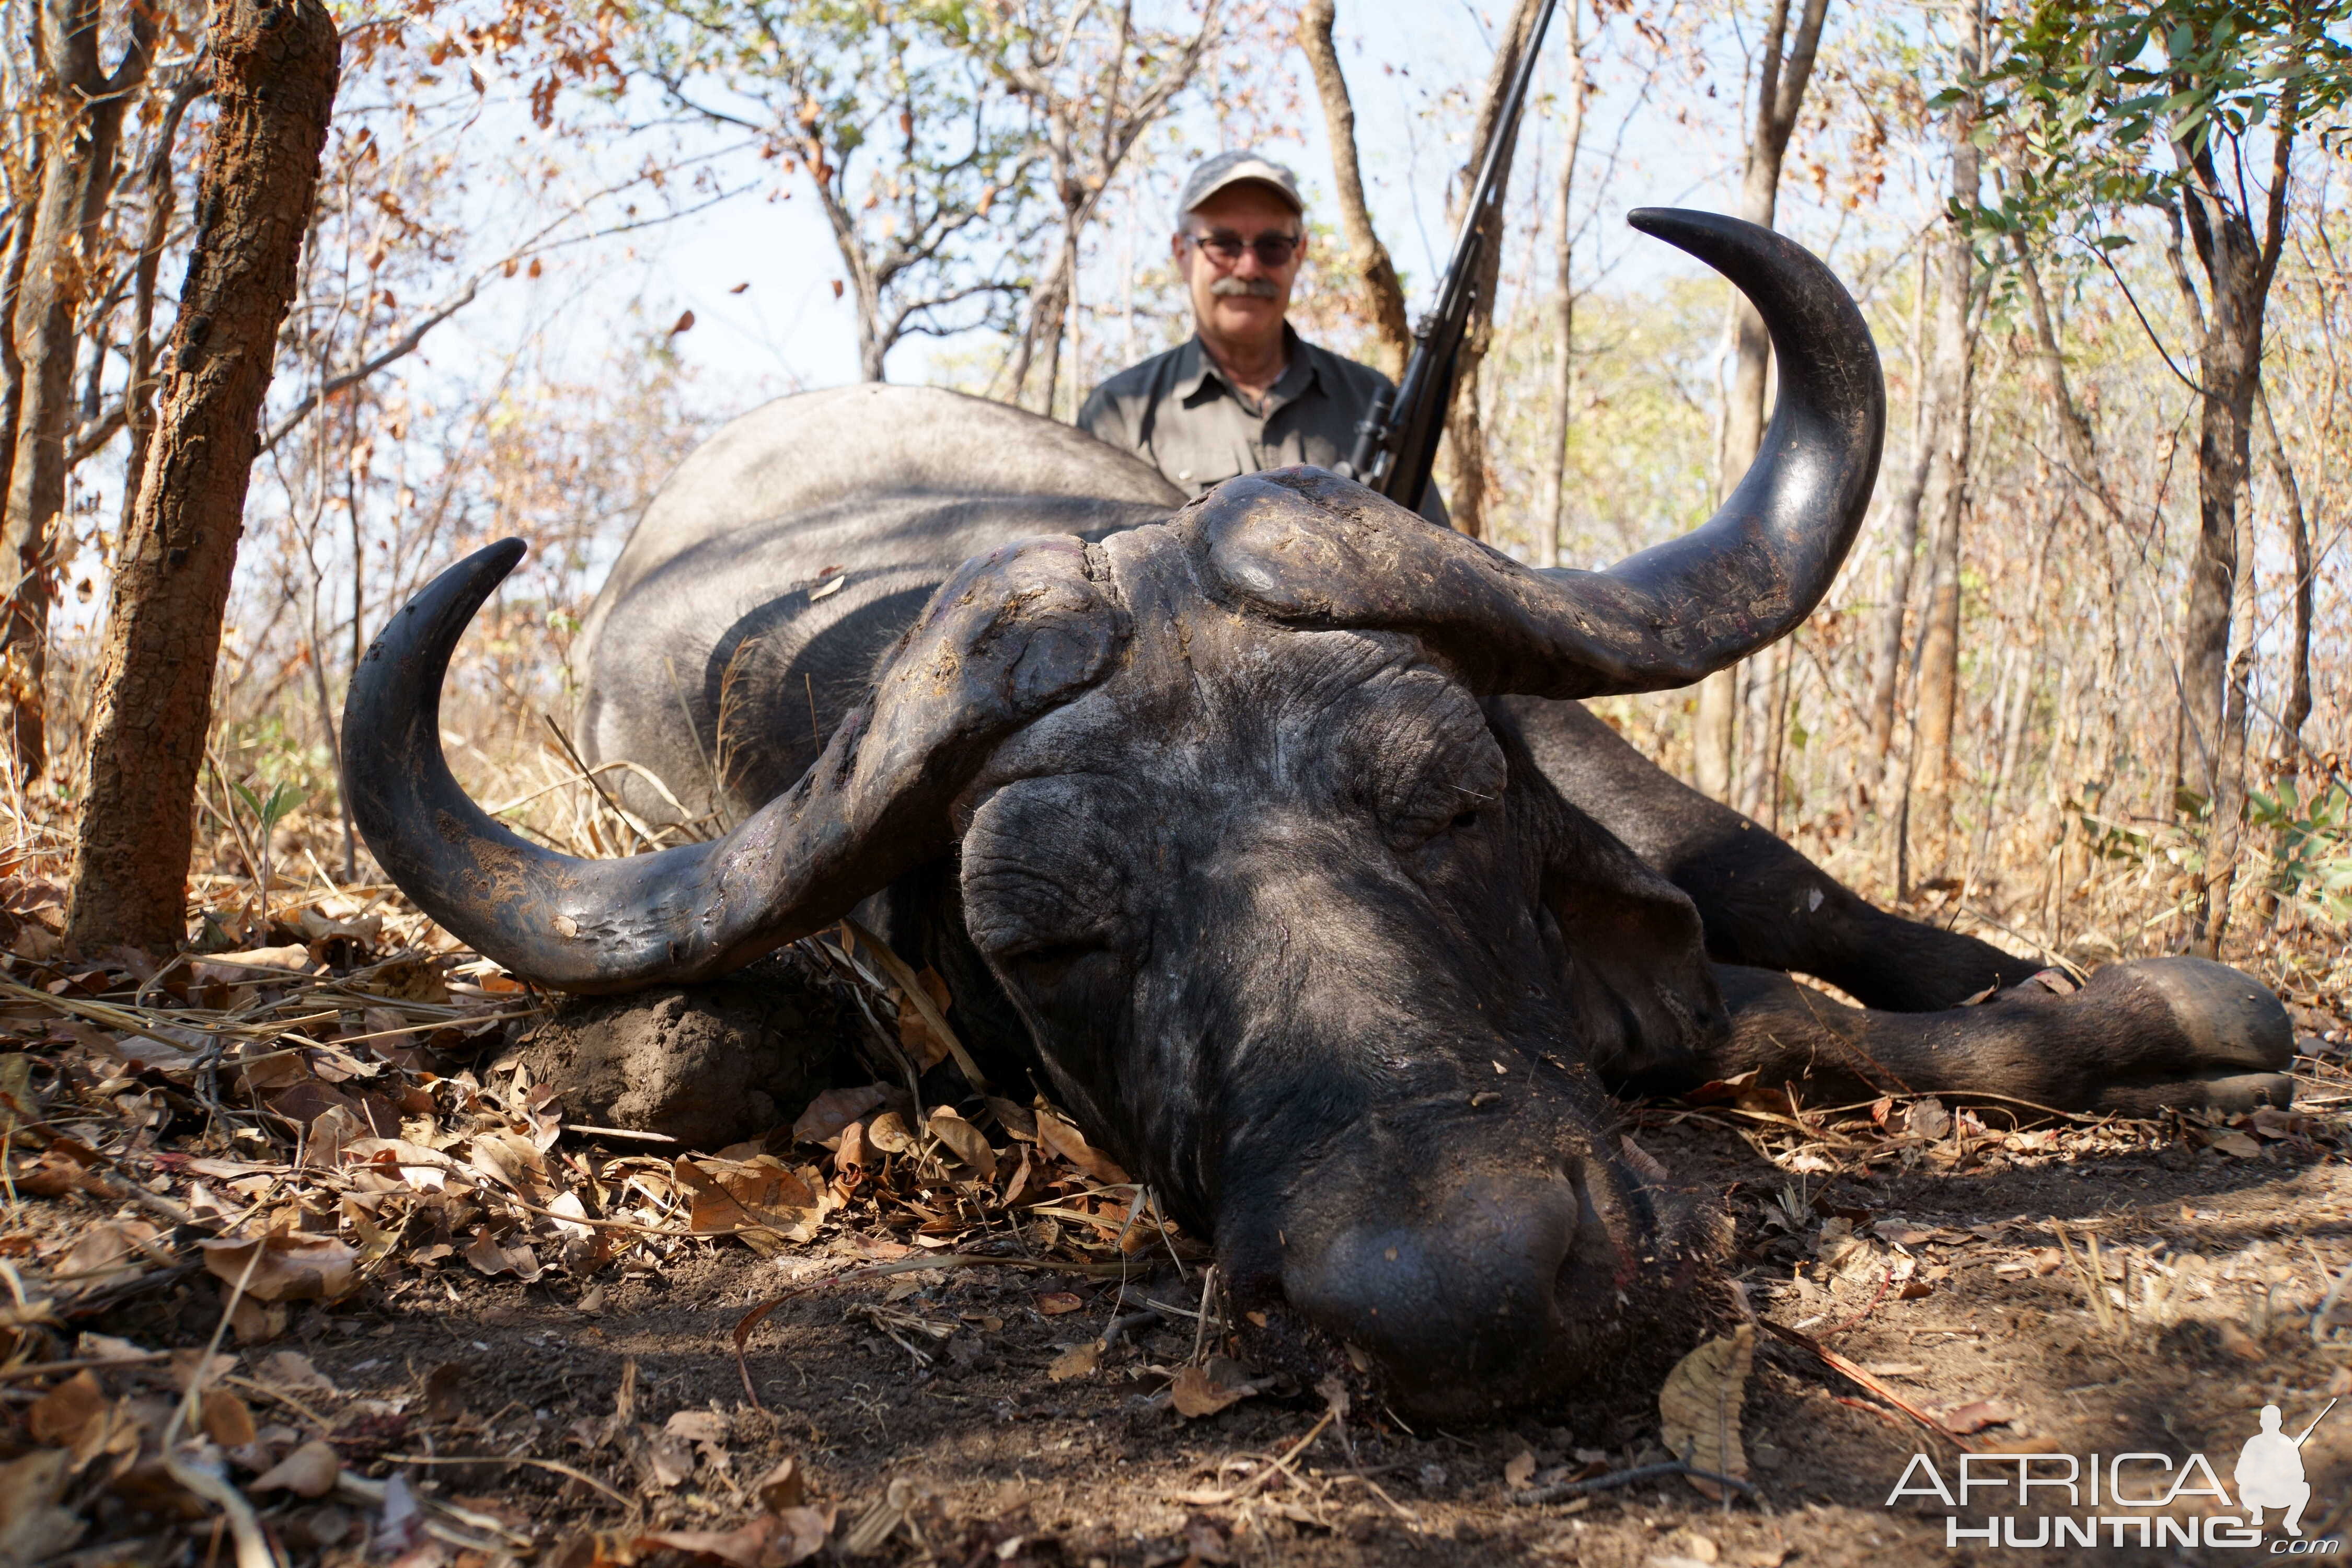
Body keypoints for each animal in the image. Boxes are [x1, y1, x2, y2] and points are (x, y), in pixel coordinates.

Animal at [348, 208, 2296, 1420]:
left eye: (1449, 800)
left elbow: (1830, 976)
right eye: (1043, 938)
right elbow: (1779, 1024)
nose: (1467, 1282)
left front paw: (2173, 1015)